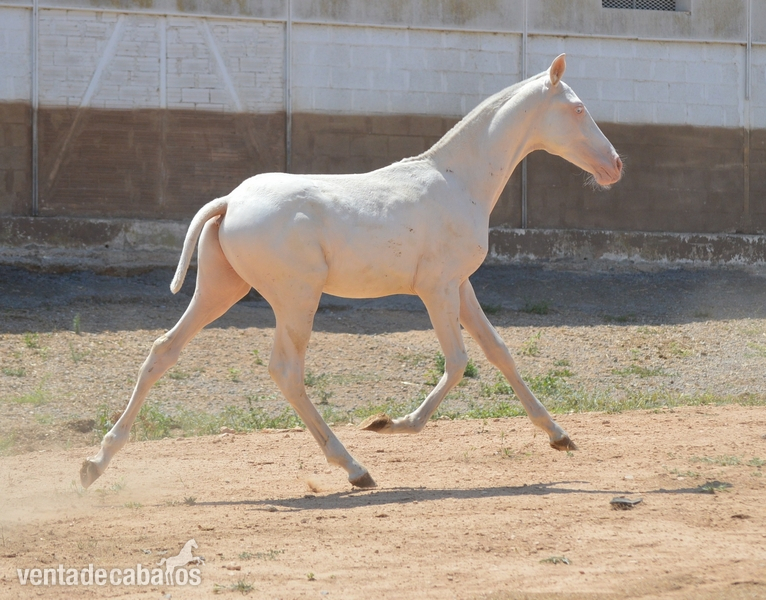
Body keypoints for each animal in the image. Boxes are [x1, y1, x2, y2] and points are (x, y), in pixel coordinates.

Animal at [80, 54, 622, 490]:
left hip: (221, 289)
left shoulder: (460, 286)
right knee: (286, 372)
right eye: (577, 109)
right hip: (295, 298)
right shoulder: (436, 289)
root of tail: (229, 201)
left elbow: (499, 352)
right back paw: (356, 468)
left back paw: (95, 464)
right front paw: (390, 423)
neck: (456, 181)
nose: (615, 165)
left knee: (162, 351)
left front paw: (560, 436)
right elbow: (457, 362)